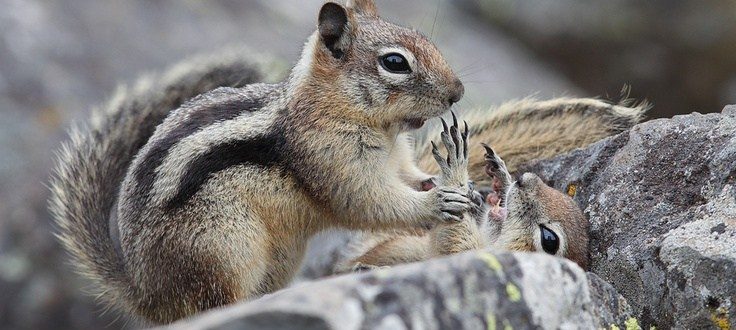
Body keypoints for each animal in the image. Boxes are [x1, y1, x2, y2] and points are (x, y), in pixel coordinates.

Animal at [49, 0, 648, 324]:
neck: (369, 124)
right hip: (223, 248)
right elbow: (371, 200)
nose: (457, 92)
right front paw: (441, 199)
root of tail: (146, 292)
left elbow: (407, 179)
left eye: (427, 39)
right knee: (215, 304)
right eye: (395, 63)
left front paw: (458, 184)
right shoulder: (334, 159)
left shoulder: (397, 159)